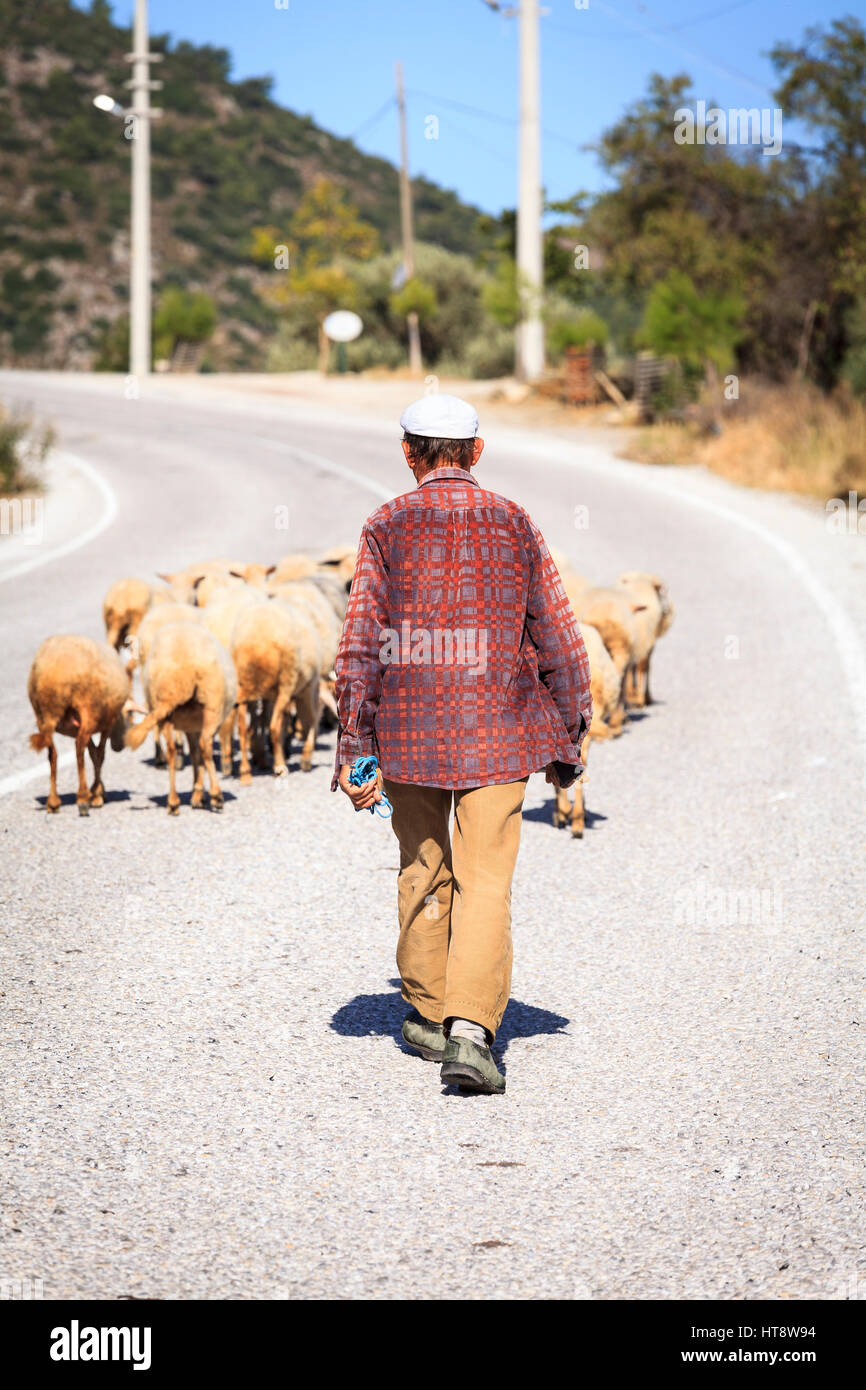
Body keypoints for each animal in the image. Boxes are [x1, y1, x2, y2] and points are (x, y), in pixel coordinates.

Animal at [26, 636, 139, 817]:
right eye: (129, 714)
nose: (120, 746)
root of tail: (54, 673)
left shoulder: (77, 728)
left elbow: (92, 753)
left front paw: (99, 791)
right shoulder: (105, 725)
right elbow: (99, 755)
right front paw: (97, 795)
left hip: (44, 716)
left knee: (53, 754)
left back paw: (53, 802)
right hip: (88, 709)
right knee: (79, 748)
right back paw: (83, 799)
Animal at [125, 622, 237, 811]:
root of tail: (179, 681)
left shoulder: (190, 725)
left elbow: (194, 753)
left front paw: (197, 794)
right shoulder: (196, 726)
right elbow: (197, 754)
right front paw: (199, 794)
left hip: (166, 715)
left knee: (171, 750)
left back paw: (173, 802)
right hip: (211, 707)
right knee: (205, 745)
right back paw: (216, 795)